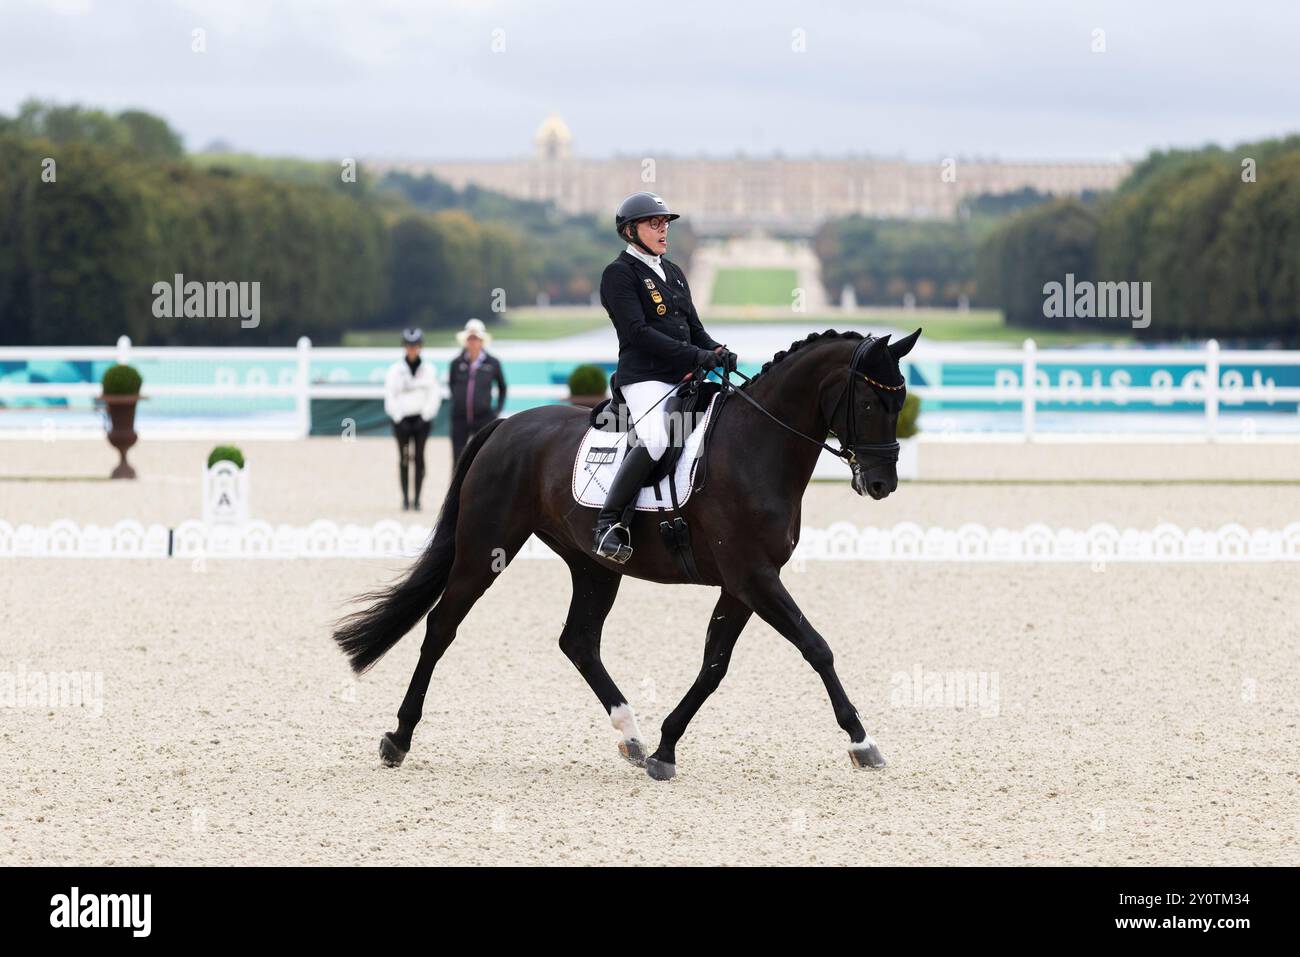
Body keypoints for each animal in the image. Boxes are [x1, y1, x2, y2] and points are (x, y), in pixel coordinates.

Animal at [335, 328, 925, 780]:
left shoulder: (743, 584)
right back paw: (398, 738)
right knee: (441, 627)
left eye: (899, 401)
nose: (881, 484)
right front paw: (862, 741)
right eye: (870, 402)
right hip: (485, 549)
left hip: (594, 566)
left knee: (578, 641)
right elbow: (816, 647)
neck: (757, 445)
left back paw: (632, 735)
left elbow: (714, 665)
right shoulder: (754, 577)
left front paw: (664, 748)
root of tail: (506, 425)